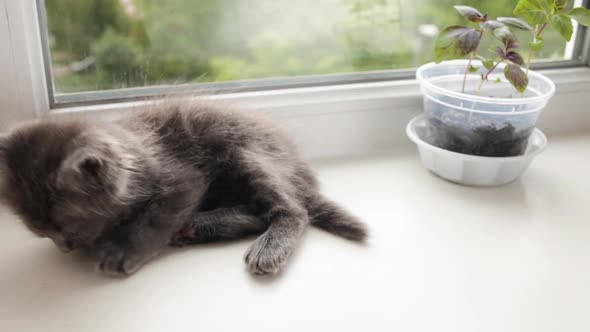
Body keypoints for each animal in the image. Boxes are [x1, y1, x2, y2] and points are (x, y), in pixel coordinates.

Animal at [0, 100, 368, 276]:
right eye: (42, 232)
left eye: (68, 229)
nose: (64, 248)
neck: (135, 152)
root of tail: (296, 165)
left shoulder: (182, 180)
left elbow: (151, 221)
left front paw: (122, 250)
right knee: (255, 214)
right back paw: (196, 227)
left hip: (245, 151)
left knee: (292, 209)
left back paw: (266, 246)